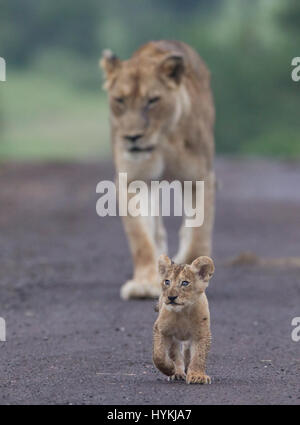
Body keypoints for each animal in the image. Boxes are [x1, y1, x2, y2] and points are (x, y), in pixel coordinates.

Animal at [101, 39, 216, 298]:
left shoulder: (198, 176)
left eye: (152, 100)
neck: (162, 141)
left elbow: (199, 231)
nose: (133, 137)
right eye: (120, 100)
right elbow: (141, 238)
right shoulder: (133, 179)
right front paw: (144, 284)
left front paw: (192, 274)